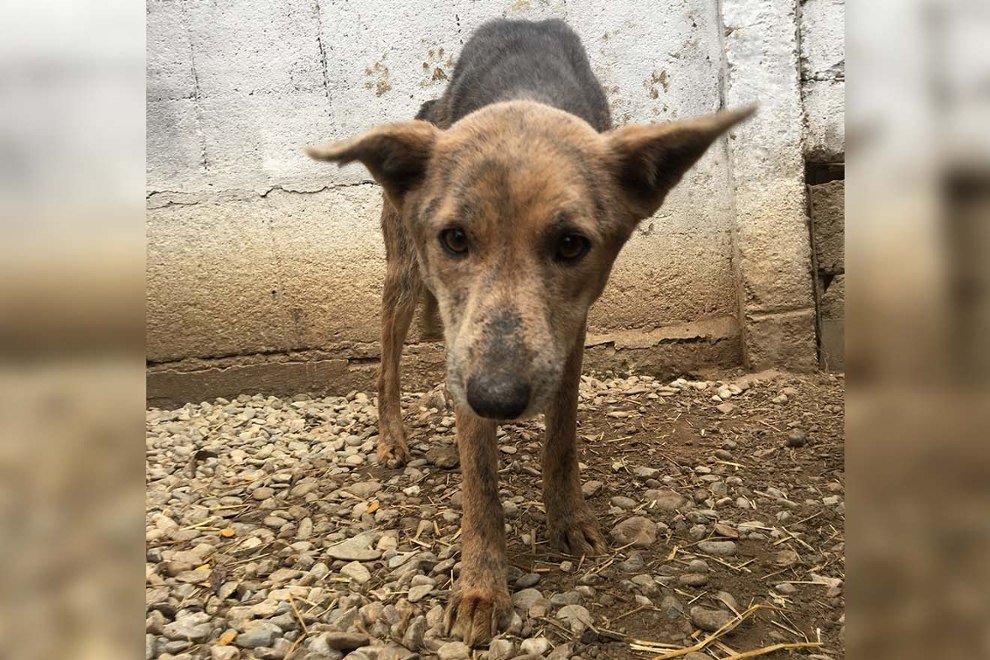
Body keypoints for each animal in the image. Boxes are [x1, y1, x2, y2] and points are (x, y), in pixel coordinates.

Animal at [307, 18, 753, 646]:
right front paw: (480, 587)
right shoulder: (465, 349)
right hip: (404, 279)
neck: (524, 88)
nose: (496, 398)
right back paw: (392, 437)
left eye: (571, 244)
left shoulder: (570, 333)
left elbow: (561, 437)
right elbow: (480, 483)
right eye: (455, 239)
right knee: (386, 365)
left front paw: (567, 519)